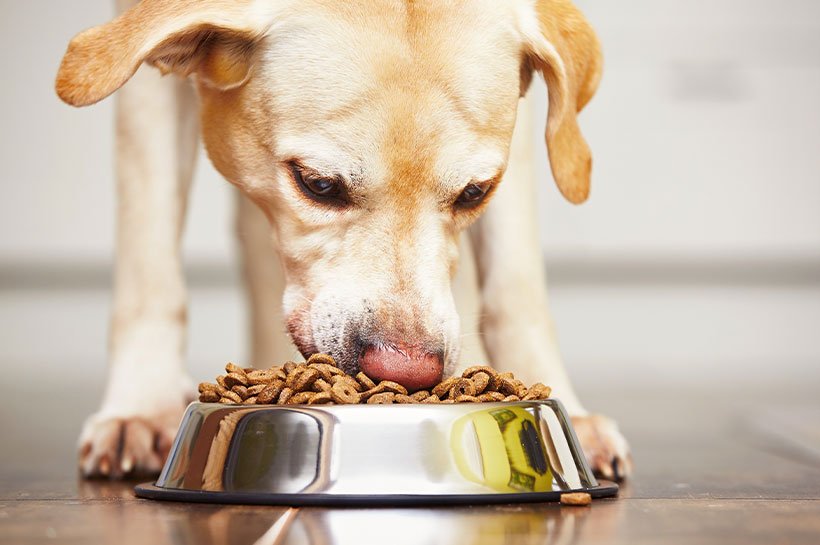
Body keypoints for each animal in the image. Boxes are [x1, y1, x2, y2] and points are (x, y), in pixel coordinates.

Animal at [57, 0, 632, 480]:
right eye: (317, 184)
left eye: (474, 192)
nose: (406, 370)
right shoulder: (145, 85)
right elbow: (149, 262)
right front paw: (142, 407)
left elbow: (517, 285)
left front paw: (563, 407)